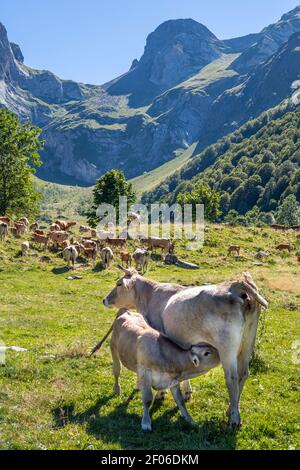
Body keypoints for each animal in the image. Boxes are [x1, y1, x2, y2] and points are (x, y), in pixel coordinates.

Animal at [103, 266, 268, 428]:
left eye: (119, 284)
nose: (104, 300)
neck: (151, 295)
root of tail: (235, 286)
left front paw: (160, 393)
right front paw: (187, 391)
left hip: (227, 348)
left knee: (231, 378)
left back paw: (234, 418)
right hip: (247, 343)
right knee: (243, 374)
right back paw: (231, 410)